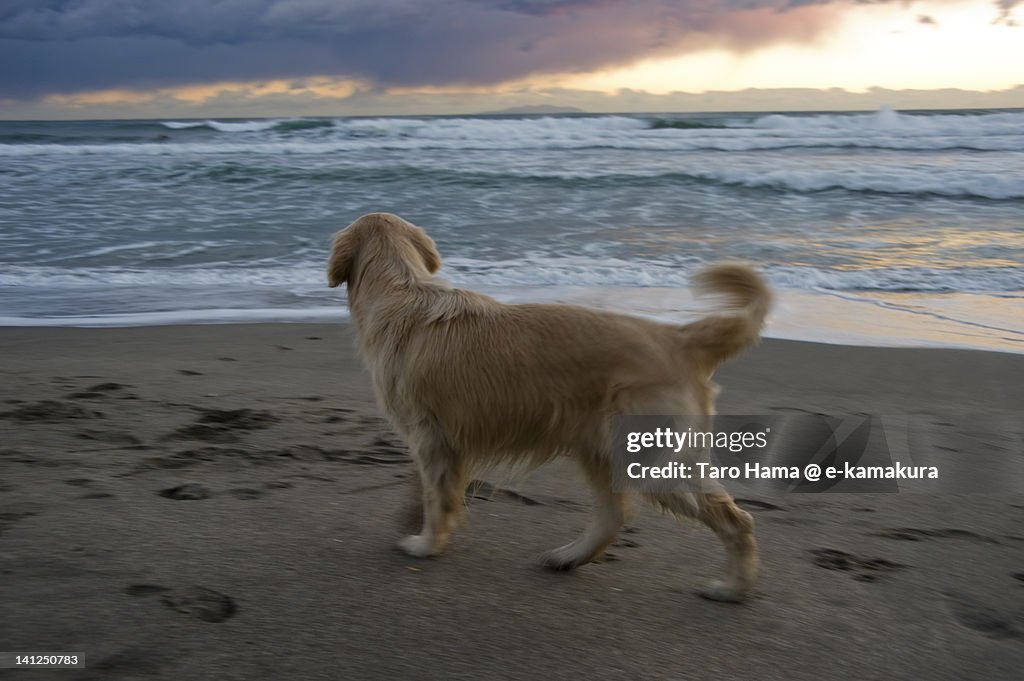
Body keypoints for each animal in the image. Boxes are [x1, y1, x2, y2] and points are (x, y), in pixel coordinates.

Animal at [331, 213, 770, 602]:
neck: (401, 291)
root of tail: (679, 337)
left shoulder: (428, 434)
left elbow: (435, 497)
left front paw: (426, 544)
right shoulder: (440, 440)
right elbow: (427, 488)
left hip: (648, 457)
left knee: (736, 519)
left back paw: (733, 588)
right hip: (600, 449)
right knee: (613, 515)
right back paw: (568, 557)